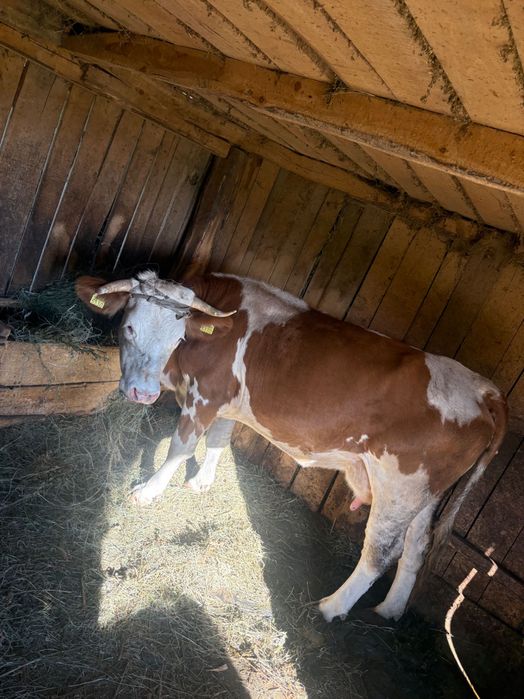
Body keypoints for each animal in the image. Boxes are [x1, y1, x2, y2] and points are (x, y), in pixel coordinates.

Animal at [76, 270, 507, 623]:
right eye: (129, 328)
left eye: (178, 337)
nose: (143, 393)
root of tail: (481, 388)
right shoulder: (228, 400)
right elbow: (219, 439)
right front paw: (201, 482)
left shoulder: (205, 396)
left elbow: (180, 447)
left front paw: (148, 491)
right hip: (428, 492)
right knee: (417, 546)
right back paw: (390, 608)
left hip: (401, 483)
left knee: (381, 550)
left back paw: (332, 606)